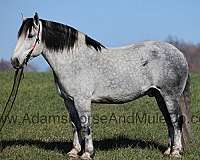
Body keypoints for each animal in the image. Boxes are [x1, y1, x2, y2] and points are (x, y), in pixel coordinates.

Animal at [10, 13, 191, 159]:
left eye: (31, 35)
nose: (15, 61)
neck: (74, 61)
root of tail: (180, 53)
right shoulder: (68, 100)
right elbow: (75, 124)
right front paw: (74, 152)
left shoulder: (82, 100)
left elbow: (86, 125)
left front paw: (87, 153)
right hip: (159, 96)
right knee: (169, 121)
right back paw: (168, 151)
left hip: (170, 96)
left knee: (176, 121)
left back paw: (176, 152)